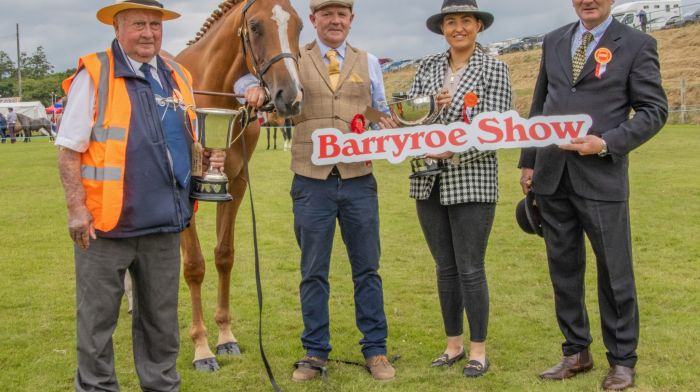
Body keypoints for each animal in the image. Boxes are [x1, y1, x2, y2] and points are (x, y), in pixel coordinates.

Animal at [174, 0, 302, 372]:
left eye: (299, 25)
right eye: (256, 26)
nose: (290, 96)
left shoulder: (236, 183)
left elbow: (224, 256)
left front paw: (225, 338)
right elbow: (194, 265)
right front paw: (202, 349)